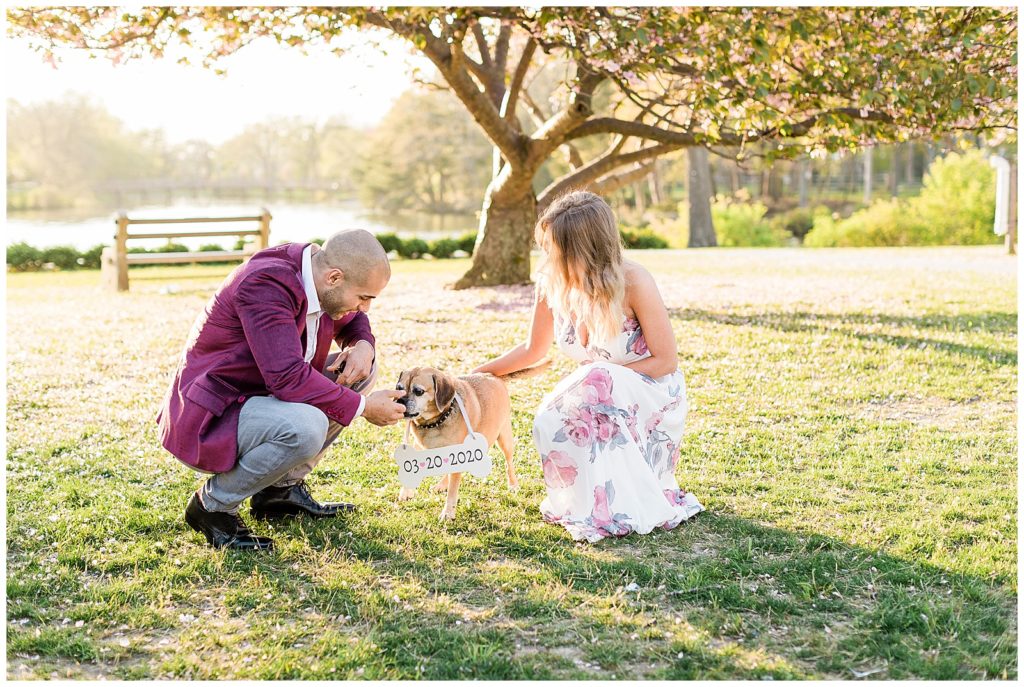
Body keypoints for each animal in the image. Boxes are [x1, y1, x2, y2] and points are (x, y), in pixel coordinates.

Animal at [393, 368, 516, 518]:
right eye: (399, 388)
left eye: (418, 391)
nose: (399, 401)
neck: (433, 423)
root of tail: (493, 376)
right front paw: (406, 491)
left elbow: (452, 491)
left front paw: (448, 513)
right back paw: (442, 485)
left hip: (504, 440)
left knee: (509, 463)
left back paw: (513, 484)